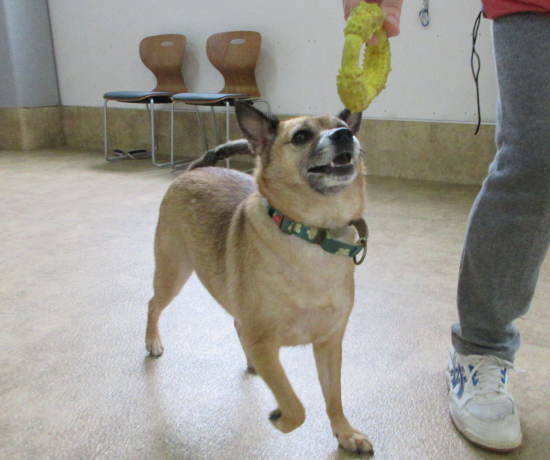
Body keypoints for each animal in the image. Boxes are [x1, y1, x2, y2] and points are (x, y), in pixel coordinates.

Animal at [145, 102, 372, 454]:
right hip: (173, 272)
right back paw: (152, 341)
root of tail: (193, 170)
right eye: (301, 136)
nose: (344, 134)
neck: (313, 234)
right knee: (153, 304)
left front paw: (344, 433)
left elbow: (334, 397)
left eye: (344, 127)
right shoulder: (265, 343)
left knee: (235, 322)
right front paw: (281, 418)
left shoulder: (329, 344)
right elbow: (295, 406)